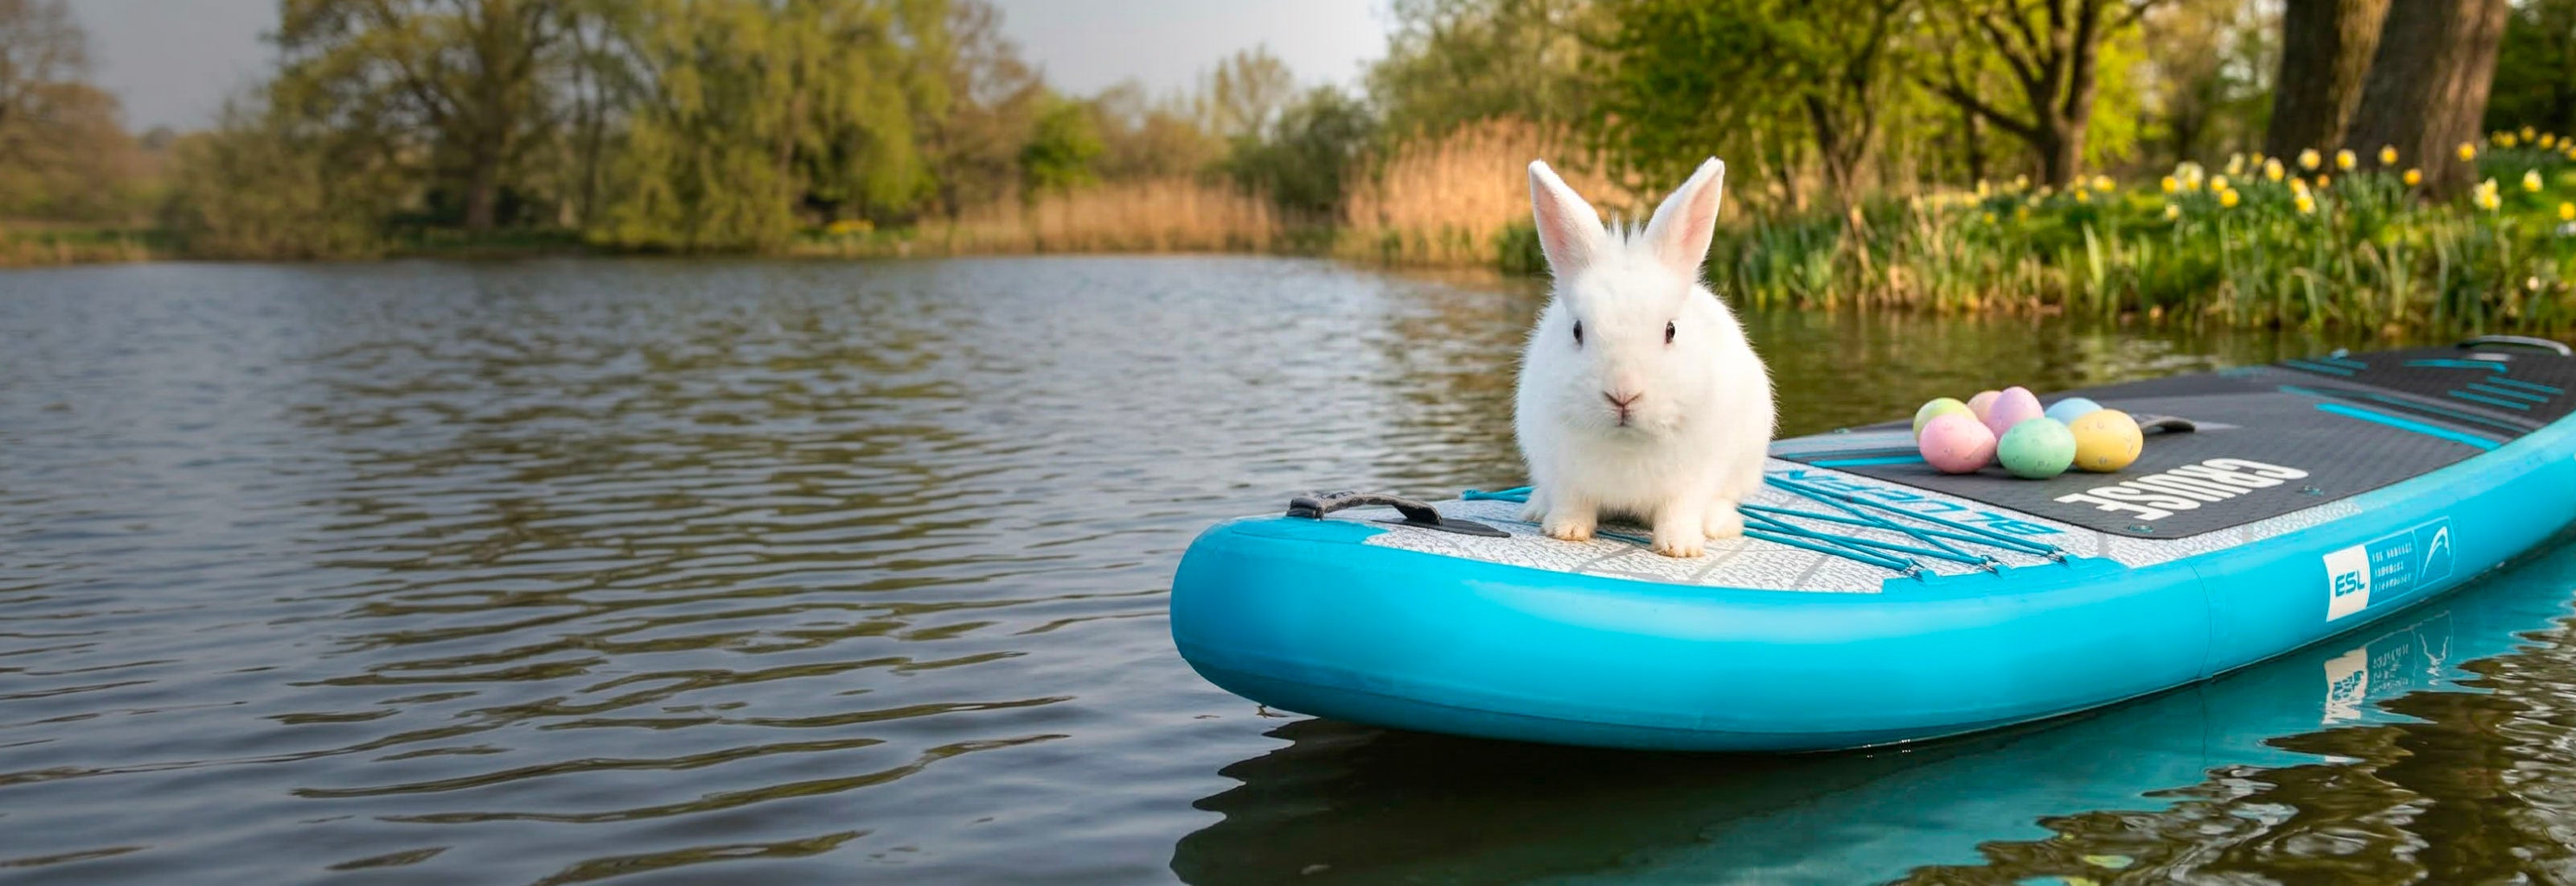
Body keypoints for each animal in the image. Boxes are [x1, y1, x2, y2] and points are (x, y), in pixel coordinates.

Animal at [1513, 157, 1776, 558]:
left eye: (1671, 330)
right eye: (1577, 331)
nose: (1623, 394)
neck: (1627, 442)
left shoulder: (1693, 479)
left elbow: (1679, 510)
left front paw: (1680, 548)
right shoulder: (1563, 472)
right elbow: (1574, 501)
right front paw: (1566, 531)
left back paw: (1721, 525)